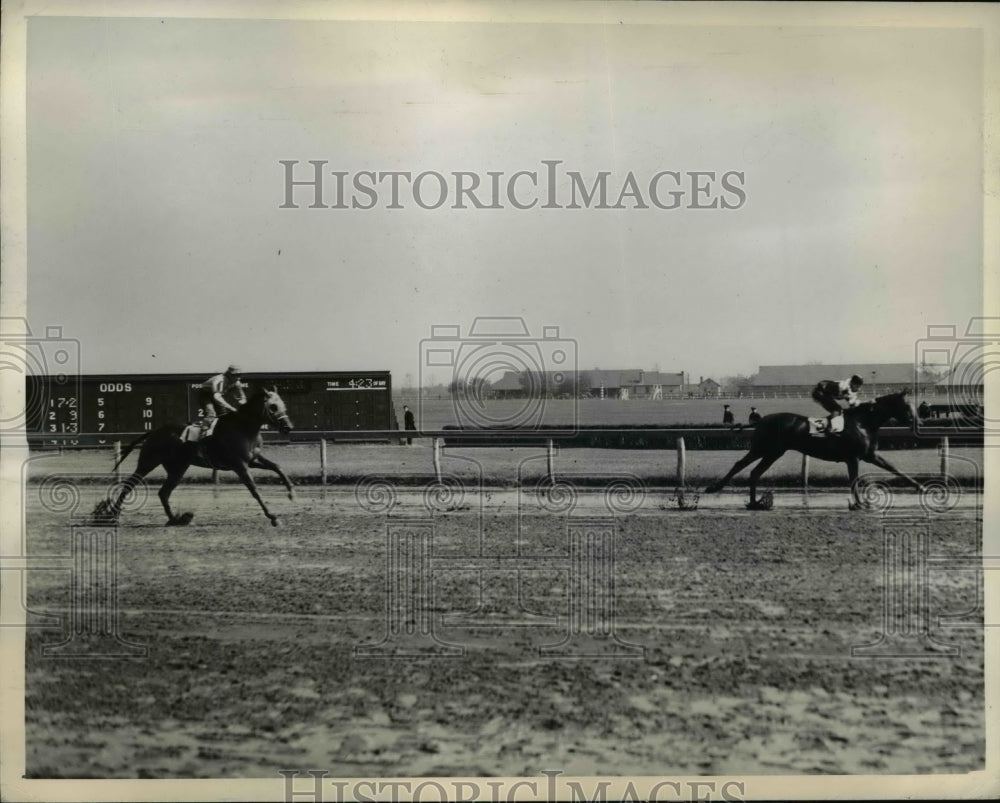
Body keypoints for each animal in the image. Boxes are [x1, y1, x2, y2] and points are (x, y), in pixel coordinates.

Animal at [96, 390, 292, 528]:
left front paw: (291, 492)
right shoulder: (240, 465)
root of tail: (154, 431)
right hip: (148, 462)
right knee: (128, 486)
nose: (288, 427)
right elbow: (254, 490)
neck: (243, 428)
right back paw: (113, 516)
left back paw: (175, 519)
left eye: (283, 404)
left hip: (177, 468)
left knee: (164, 492)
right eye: (273, 407)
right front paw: (273, 517)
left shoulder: (253, 460)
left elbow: (278, 467)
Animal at [704, 392, 920, 512]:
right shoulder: (853, 458)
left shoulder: (870, 455)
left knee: (754, 472)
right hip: (764, 448)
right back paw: (714, 488)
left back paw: (755, 503)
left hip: (773, 453)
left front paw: (921, 487)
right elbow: (854, 480)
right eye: (907, 406)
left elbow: (896, 470)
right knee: (740, 465)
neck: (862, 422)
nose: (918, 422)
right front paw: (858, 504)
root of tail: (762, 419)